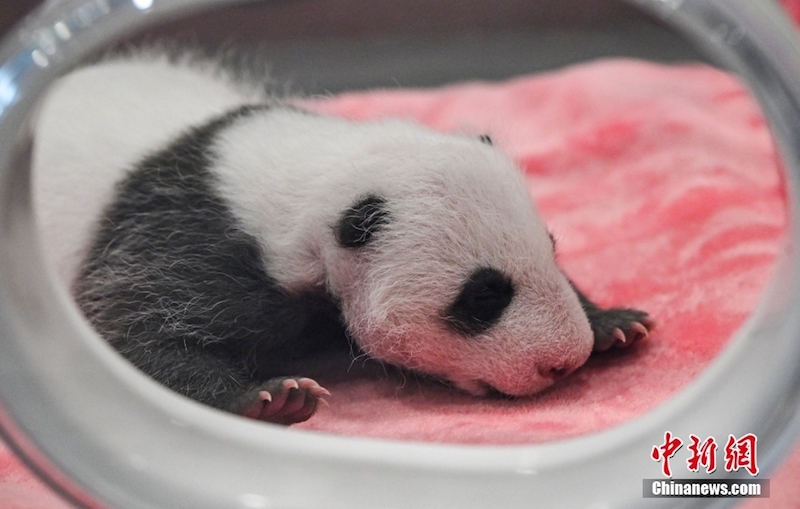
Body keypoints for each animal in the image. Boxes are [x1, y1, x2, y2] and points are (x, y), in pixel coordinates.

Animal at [32, 55, 652, 425]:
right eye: (484, 296)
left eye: (553, 250)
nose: (565, 362)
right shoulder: (179, 235)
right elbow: (128, 331)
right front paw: (270, 397)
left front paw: (613, 323)